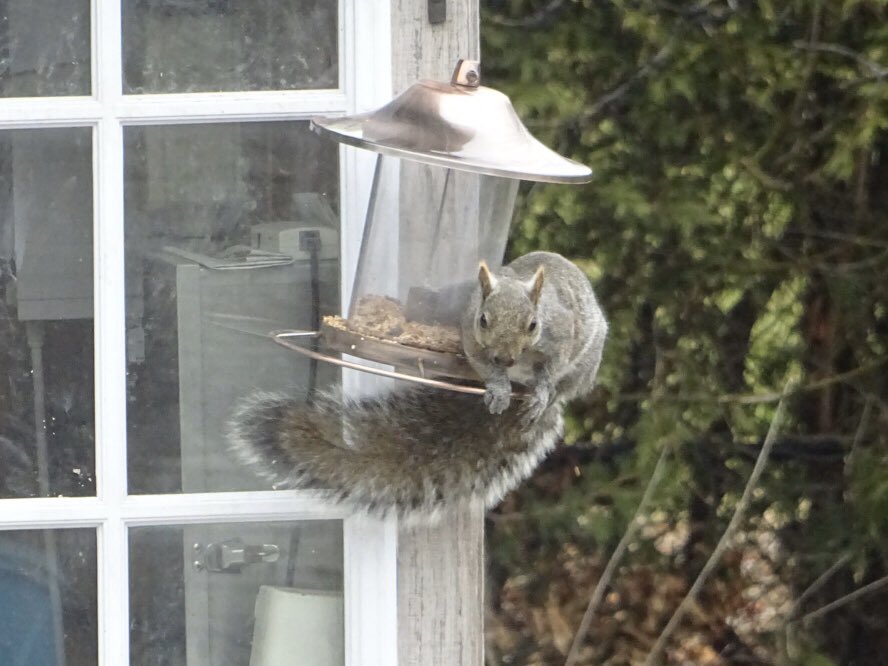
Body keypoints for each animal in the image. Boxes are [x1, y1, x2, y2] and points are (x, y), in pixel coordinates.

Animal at [225, 249, 608, 520]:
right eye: (483, 320)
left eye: (532, 325)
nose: (505, 359)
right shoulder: (471, 340)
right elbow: (483, 364)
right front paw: (499, 387)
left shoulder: (562, 335)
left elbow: (552, 366)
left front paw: (541, 387)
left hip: (586, 364)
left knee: (566, 385)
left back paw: (545, 396)